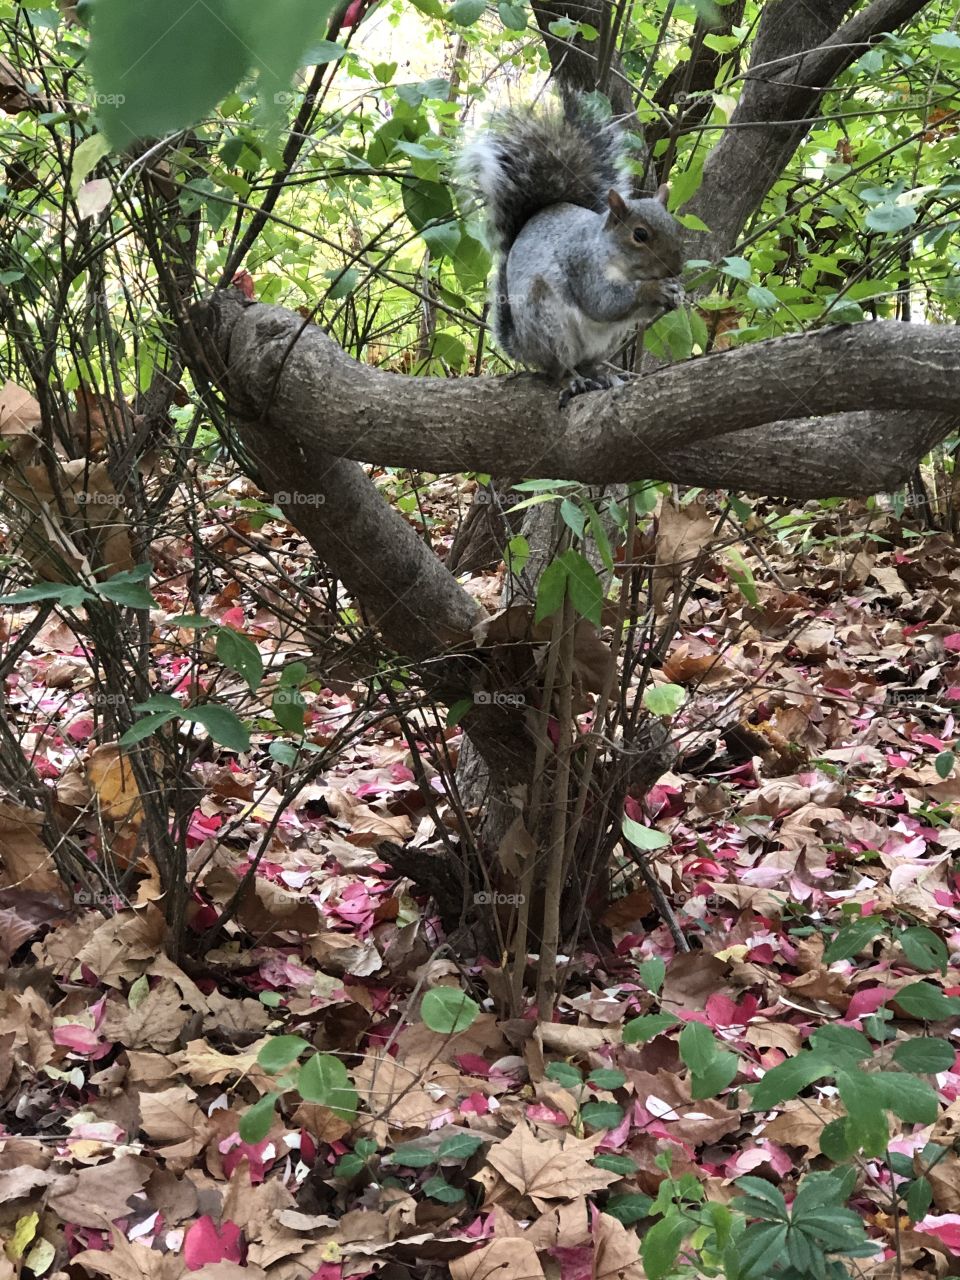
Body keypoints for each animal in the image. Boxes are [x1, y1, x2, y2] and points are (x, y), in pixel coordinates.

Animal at [461, 92, 685, 406]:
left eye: (675, 225)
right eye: (639, 235)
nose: (676, 268)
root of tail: (522, 346)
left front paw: (676, 292)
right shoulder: (582, 263)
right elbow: (602, 302)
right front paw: (653, 290)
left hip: (609, 340)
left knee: (588, 362)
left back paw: (602, 375)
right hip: (546, 320)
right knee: (559, 368)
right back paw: (573, 379)